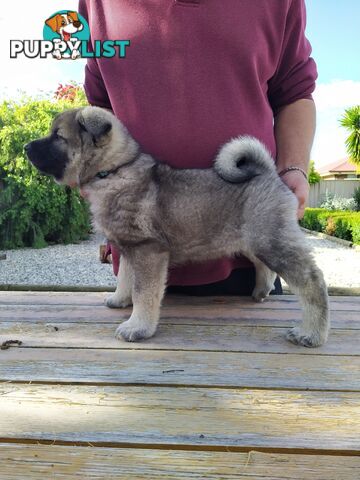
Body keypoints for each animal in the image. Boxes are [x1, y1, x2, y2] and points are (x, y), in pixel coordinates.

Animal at [24, 106, 330, 344]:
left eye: (58, 136)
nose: (26, 147)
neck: (113, 171)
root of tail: (267, 173)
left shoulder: (148, 251)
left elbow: (144, 292)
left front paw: (137, 327)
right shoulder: (129, 248)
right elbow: (125, 277)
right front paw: (120, 300)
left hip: (272, 241)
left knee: (312, 282)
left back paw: (311, 333)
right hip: (253, 239)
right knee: (262, 264)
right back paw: (261, 291)